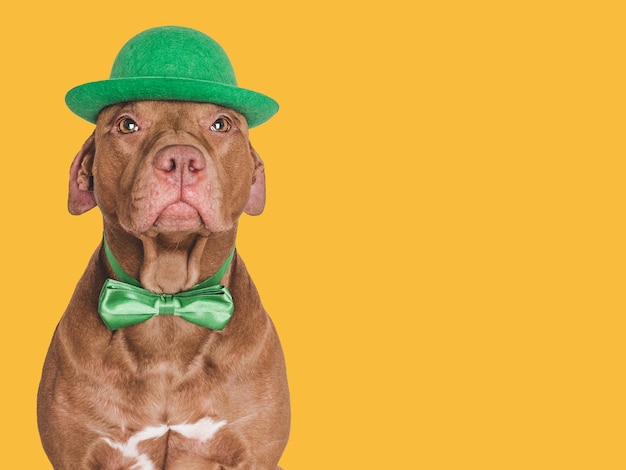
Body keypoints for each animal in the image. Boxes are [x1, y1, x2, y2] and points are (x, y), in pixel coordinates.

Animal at [34, 27, 288, 468]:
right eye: (128, 124)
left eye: (221, 123)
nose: (181, 159)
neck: (168, 304)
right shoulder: (76, 454)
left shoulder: (255, 452)